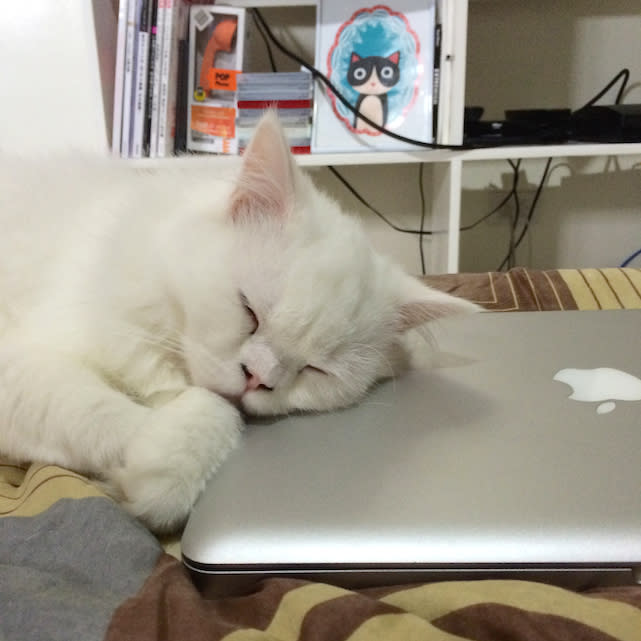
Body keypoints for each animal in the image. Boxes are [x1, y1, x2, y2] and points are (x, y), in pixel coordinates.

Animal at [0, 112, 476, 532]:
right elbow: (110, 412)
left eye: (315, 369)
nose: (256, 378)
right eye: (249, 312)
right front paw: (159, 462)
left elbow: (215, 416)